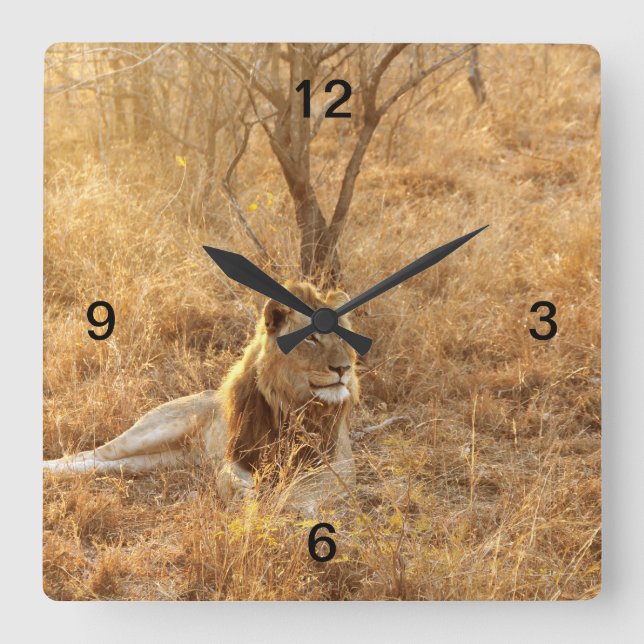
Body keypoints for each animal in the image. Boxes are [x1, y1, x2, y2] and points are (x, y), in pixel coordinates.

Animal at [43, 283, 360, 514]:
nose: (344, 368)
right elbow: (227, 476)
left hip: (161, 459)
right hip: (153, 431)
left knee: (104, 464)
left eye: (343, 337)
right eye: (311, 339)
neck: (293, 403)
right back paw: (47, 470)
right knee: (91, 454)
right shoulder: (237, 454)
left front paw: (288, 504)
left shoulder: (340, 463)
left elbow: (311, 486)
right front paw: (244, 495)